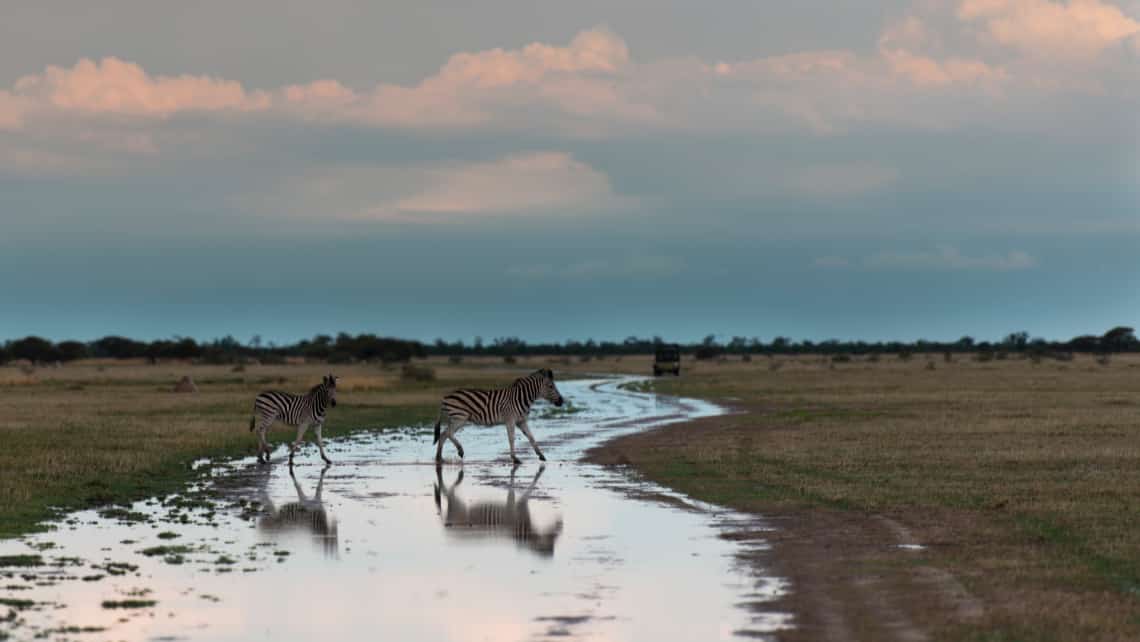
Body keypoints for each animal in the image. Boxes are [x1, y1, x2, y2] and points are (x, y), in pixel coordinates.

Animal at [430, 369, 565, 465]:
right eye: (550, 386)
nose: (561, 401)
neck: (521, 398)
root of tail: (445, 397)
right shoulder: (510, 419)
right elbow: (511, 438)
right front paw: (515, 458)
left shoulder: (521, 421)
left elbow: (531, 437)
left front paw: (541, 455)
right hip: (460, 418)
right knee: (449, 433)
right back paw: (460, 450)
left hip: (455, 419)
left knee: (443, 434)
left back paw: (439, 458)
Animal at [430, 462, 565, 558]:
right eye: (552, 538)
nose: (560, 523)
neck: (526, 531)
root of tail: (447, 527)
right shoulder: (518, 506)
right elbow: (528, 489)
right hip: (457, 507)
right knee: (449, 492)